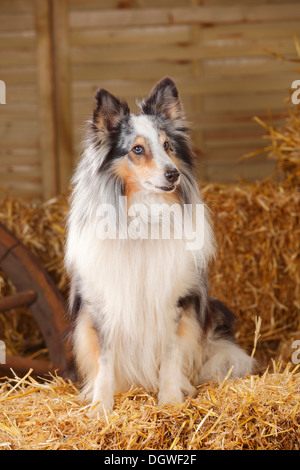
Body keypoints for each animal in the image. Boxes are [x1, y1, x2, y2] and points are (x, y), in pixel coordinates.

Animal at [64, 77, 254, 414]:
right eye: (137, 149)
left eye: (167, 146)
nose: (173, 174)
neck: (144, 216)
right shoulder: (103, 303)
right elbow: (105, 360)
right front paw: (101, 407)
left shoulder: (173, 302)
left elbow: (170, 354)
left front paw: (170, 400)